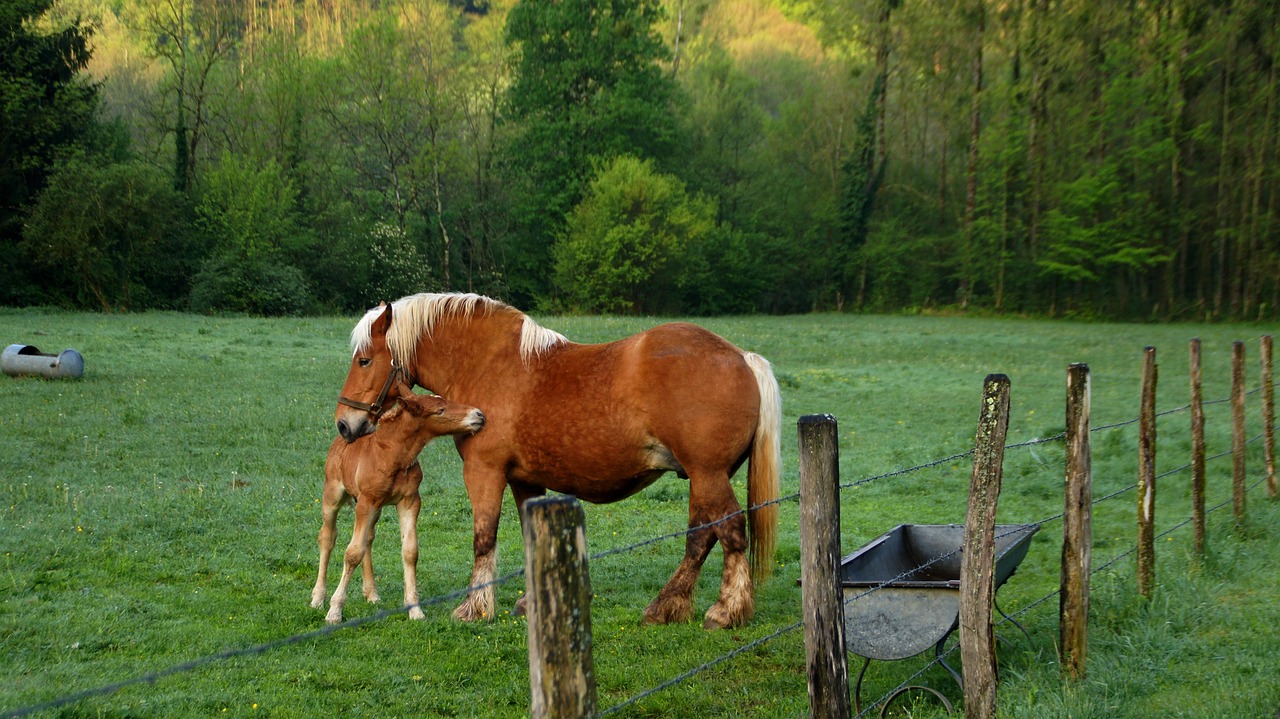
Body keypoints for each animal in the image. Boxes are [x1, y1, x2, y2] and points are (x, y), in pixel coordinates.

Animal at [313, 386, 483, 621]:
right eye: (440, 410)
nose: (479, 415)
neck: (392, 456)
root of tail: (342, 437)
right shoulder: (366, 502)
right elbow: (352, 553)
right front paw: (335, 610)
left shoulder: (409, 501)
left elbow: (410, 551)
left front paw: (415, 609)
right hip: (333, 496)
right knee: (327, 537)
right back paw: (317, 598)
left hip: (374, 509)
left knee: (368, 539)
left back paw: (372, 593)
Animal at [332, 291, 778, 626]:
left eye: (365, 360)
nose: (344, 424)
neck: (489, 364)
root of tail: (742, 357)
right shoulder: (525, 480)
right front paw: (531, 601)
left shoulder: (484, 472)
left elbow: (483, 539)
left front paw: (475, 608)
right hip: (704, 478)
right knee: (701, 538)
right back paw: (668, 605)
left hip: (709, 475)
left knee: (729, 531)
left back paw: (725, 610)